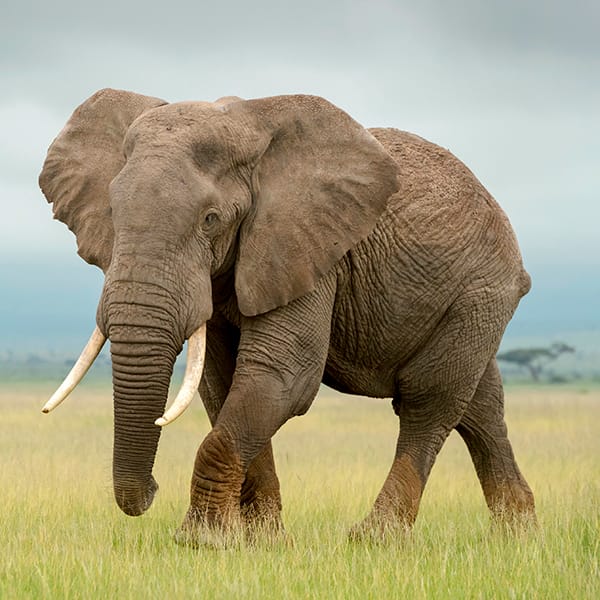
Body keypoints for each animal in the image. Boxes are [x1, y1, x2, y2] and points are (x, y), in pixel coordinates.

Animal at [39, 89, 536, 544]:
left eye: (210, 219)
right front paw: (262, 541)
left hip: (481, 291)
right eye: (112, 214)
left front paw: (203, 541)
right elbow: (224, 384)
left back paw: (375, 538)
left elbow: (282, 376)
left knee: (429, 399)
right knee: (479, 407)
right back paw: (518, 535)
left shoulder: (309, 248)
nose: (152, 491)